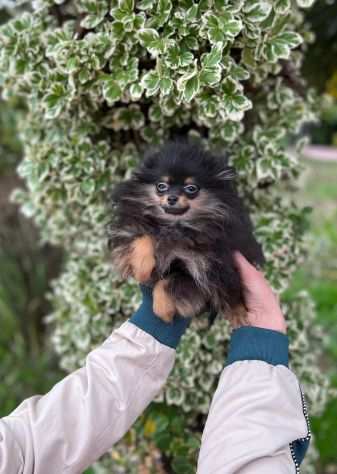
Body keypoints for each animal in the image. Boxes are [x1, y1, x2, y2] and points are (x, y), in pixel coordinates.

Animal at [106, 137, 264, 322]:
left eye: (191, 188)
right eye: (161, 186)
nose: (172, 198)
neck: (175, 226)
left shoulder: (201, 267)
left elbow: (168, 282)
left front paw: (162, 310)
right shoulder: (129, 229)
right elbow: (143, 238)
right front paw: (142, 267)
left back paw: (238, 313)